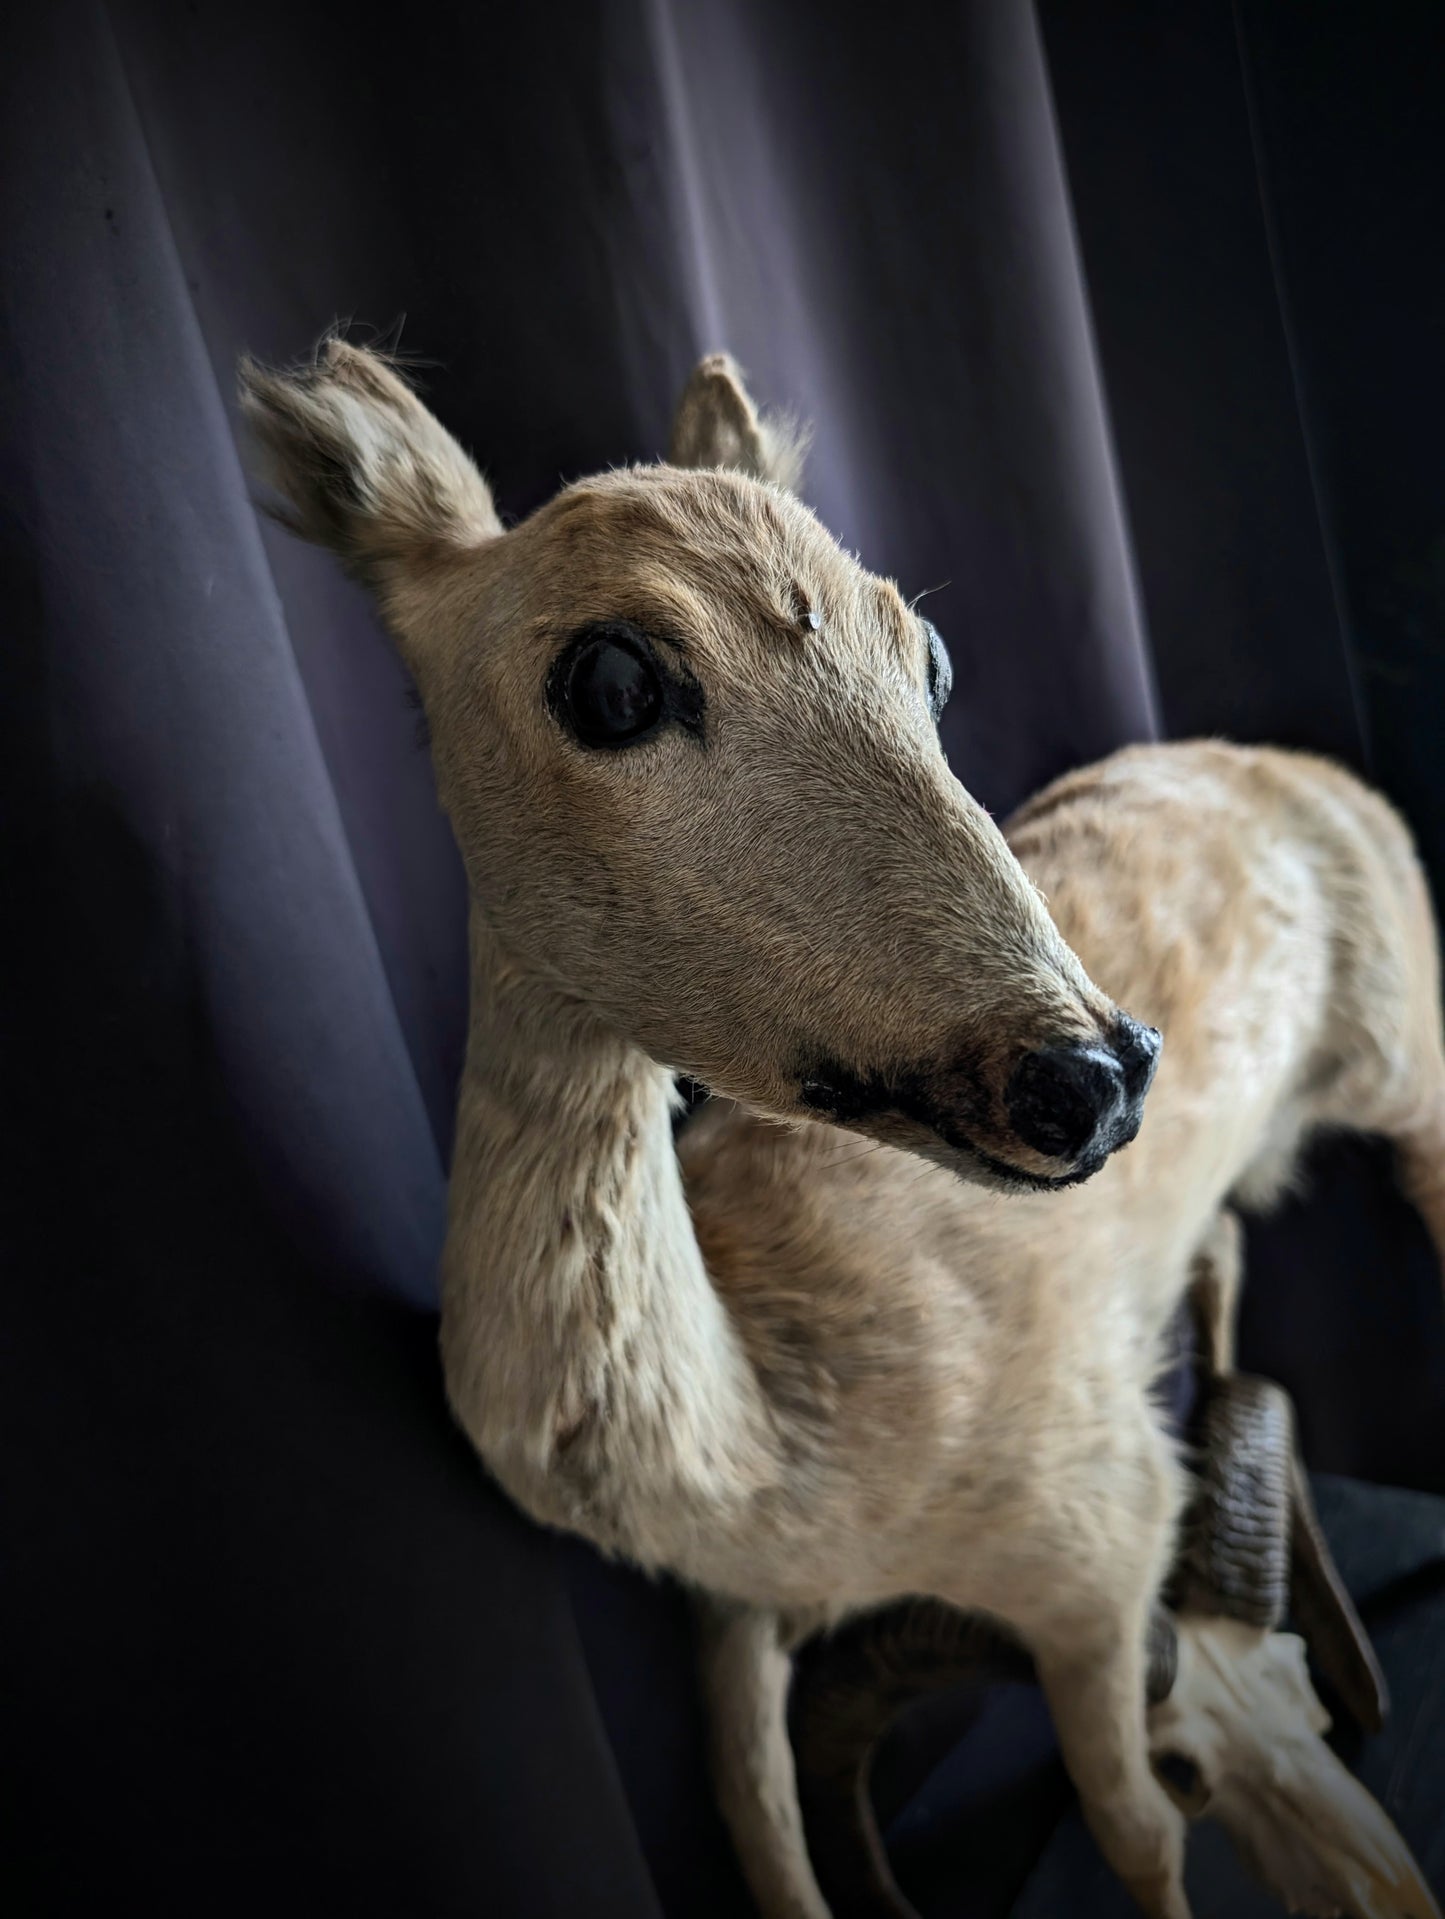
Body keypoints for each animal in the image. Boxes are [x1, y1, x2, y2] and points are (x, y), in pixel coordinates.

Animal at [238, 337, 1441, 1919]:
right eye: (611, 676)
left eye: (925, 652)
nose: (1096, 1070)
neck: (794, 1455)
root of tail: (1285, 763)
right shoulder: (730, 1627)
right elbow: (764, 1836)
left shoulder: (1099, 1548)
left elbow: (1130, 1830)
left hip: (1410, 1059)